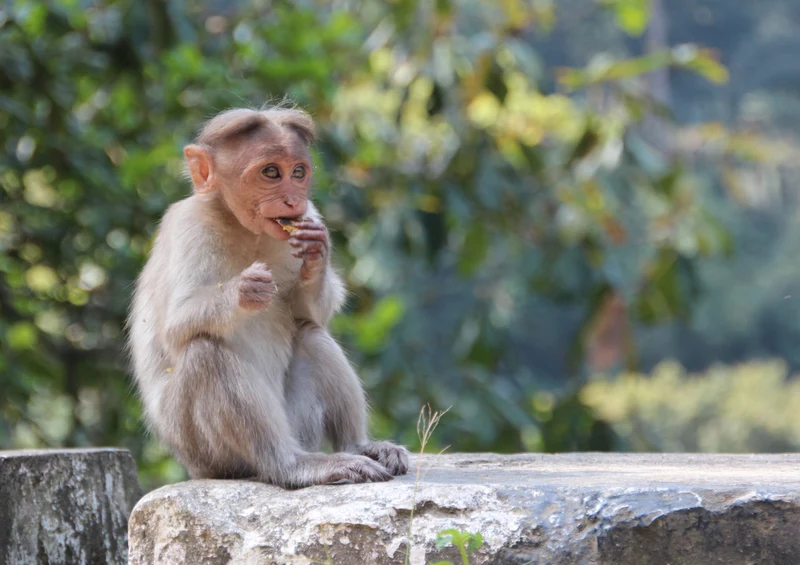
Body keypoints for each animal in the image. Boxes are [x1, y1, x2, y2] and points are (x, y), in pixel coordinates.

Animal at [127, 106, 408, 488]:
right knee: (205, 353)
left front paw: (316, 255)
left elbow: (312, 315)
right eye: (271, 172)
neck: (245, 227)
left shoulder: (311, 214)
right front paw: (244, 291)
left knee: (311, 335)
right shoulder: (191, 226)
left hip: (298, 424)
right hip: (206, 452)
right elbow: (175, 325)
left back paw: (358, 445)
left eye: (299, 172)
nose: (293, 199)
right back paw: (290, 465)